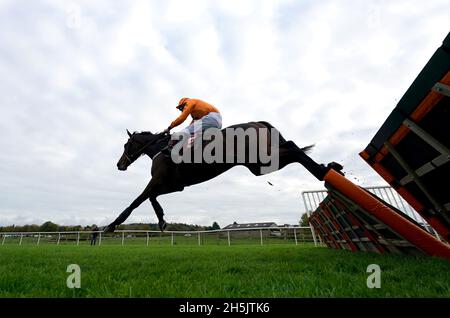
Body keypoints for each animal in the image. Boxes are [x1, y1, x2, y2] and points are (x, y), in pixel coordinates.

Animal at [103, 120, 342, 232]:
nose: (119, 164)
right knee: (292, 147)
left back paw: (324, 171)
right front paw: (162, 220)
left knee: (292, 147)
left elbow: (135, 202)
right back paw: (330, 166)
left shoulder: (158, 181)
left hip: (261, 160)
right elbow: (152, 198)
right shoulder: (173, 185)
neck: (160, 150)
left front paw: (111, 225)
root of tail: (257, 122)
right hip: (258, 165)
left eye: (126, 145)